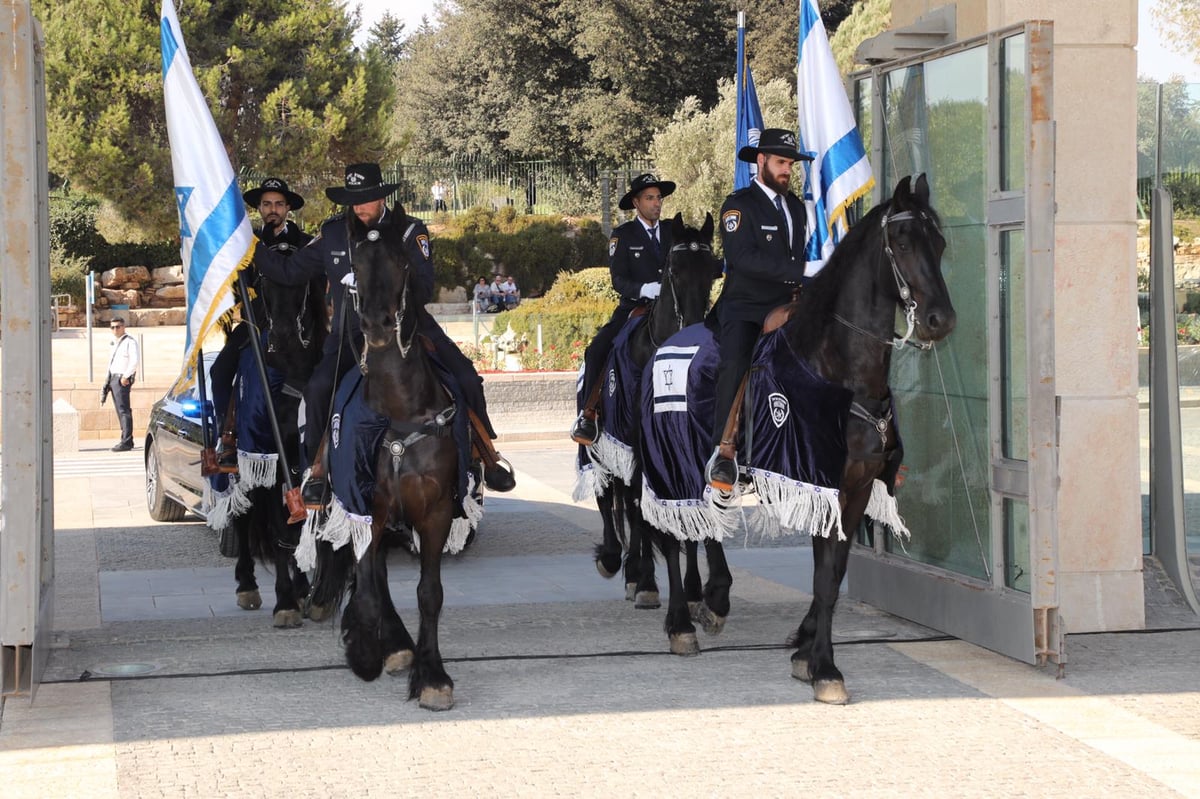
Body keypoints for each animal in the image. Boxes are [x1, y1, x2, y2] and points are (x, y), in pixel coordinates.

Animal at [217, 271, 326, 623]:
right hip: (243, 467)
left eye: (304, 282)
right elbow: (280, 531)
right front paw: (286, 603)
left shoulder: (305, 463)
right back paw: (247, 586)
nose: (283, 336)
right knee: (243, 516)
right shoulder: (269, 458)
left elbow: (299, 526)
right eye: (263, 280)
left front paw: (303, 592)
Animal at [304, 214, 463, 705]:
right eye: (353, 264)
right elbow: (370, 586)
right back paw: (388, 643)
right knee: (372, 575)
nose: (374, 324)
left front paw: (432, 675)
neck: (398, 410)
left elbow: (430, 593)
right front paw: (367, 652)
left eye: (401, 260)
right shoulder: (366, 508)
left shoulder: (436, 512)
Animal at [583, 211, 720, 609]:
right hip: (603, 443)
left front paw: (692, 588)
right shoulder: (638, 446)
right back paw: (621, 564)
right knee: (614, 498)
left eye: (713, 270)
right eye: (674, 269)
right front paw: (646, 581)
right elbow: (641, 512)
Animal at [643, 173, 960, 695]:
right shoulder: (817, 477)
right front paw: (825, 667)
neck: (838, 368)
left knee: (704, 526)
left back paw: (712, 599)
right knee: (671, 534)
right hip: (668, 459)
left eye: (939, 243)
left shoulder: (851, 486)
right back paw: (680, 623)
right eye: (901, 241)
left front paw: (807, 651)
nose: (941, 320)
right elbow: (825, 575)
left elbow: (832, 570)